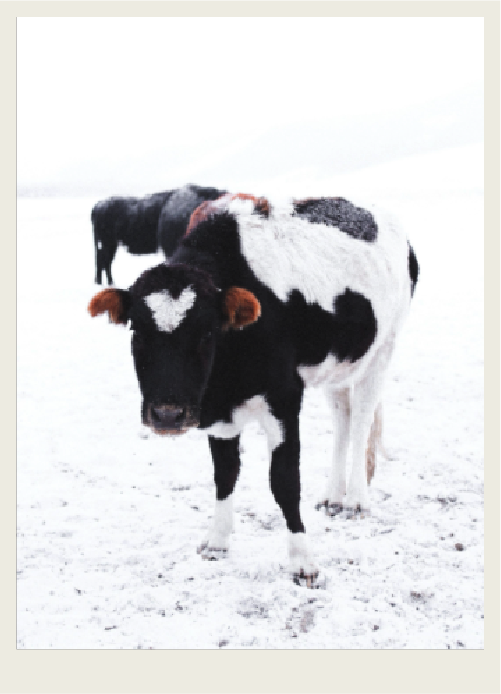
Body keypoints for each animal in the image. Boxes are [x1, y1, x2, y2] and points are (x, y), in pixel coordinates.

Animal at [91, 184, 226, 285]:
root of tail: (98, 206)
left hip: (110, 243)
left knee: (104, 260)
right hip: (108, 242)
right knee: (104, 260)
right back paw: (106, 282)